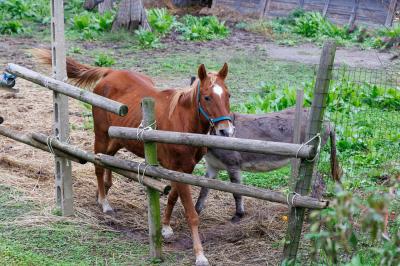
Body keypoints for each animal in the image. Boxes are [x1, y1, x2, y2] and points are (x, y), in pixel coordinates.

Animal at [35, 48, 234, 264]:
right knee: (98, 164)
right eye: (207, 97)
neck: (181, 121)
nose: (226, 131)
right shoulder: (177, 169)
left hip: (119, 138)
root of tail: (110, 72)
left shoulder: (184, 170)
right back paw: (104, 203)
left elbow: (172, 197)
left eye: (228, 95)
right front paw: (200, 255)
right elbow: (191, 214)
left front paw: (165, 227)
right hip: (102, 135)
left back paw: (102, 192)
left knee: (108, 159)